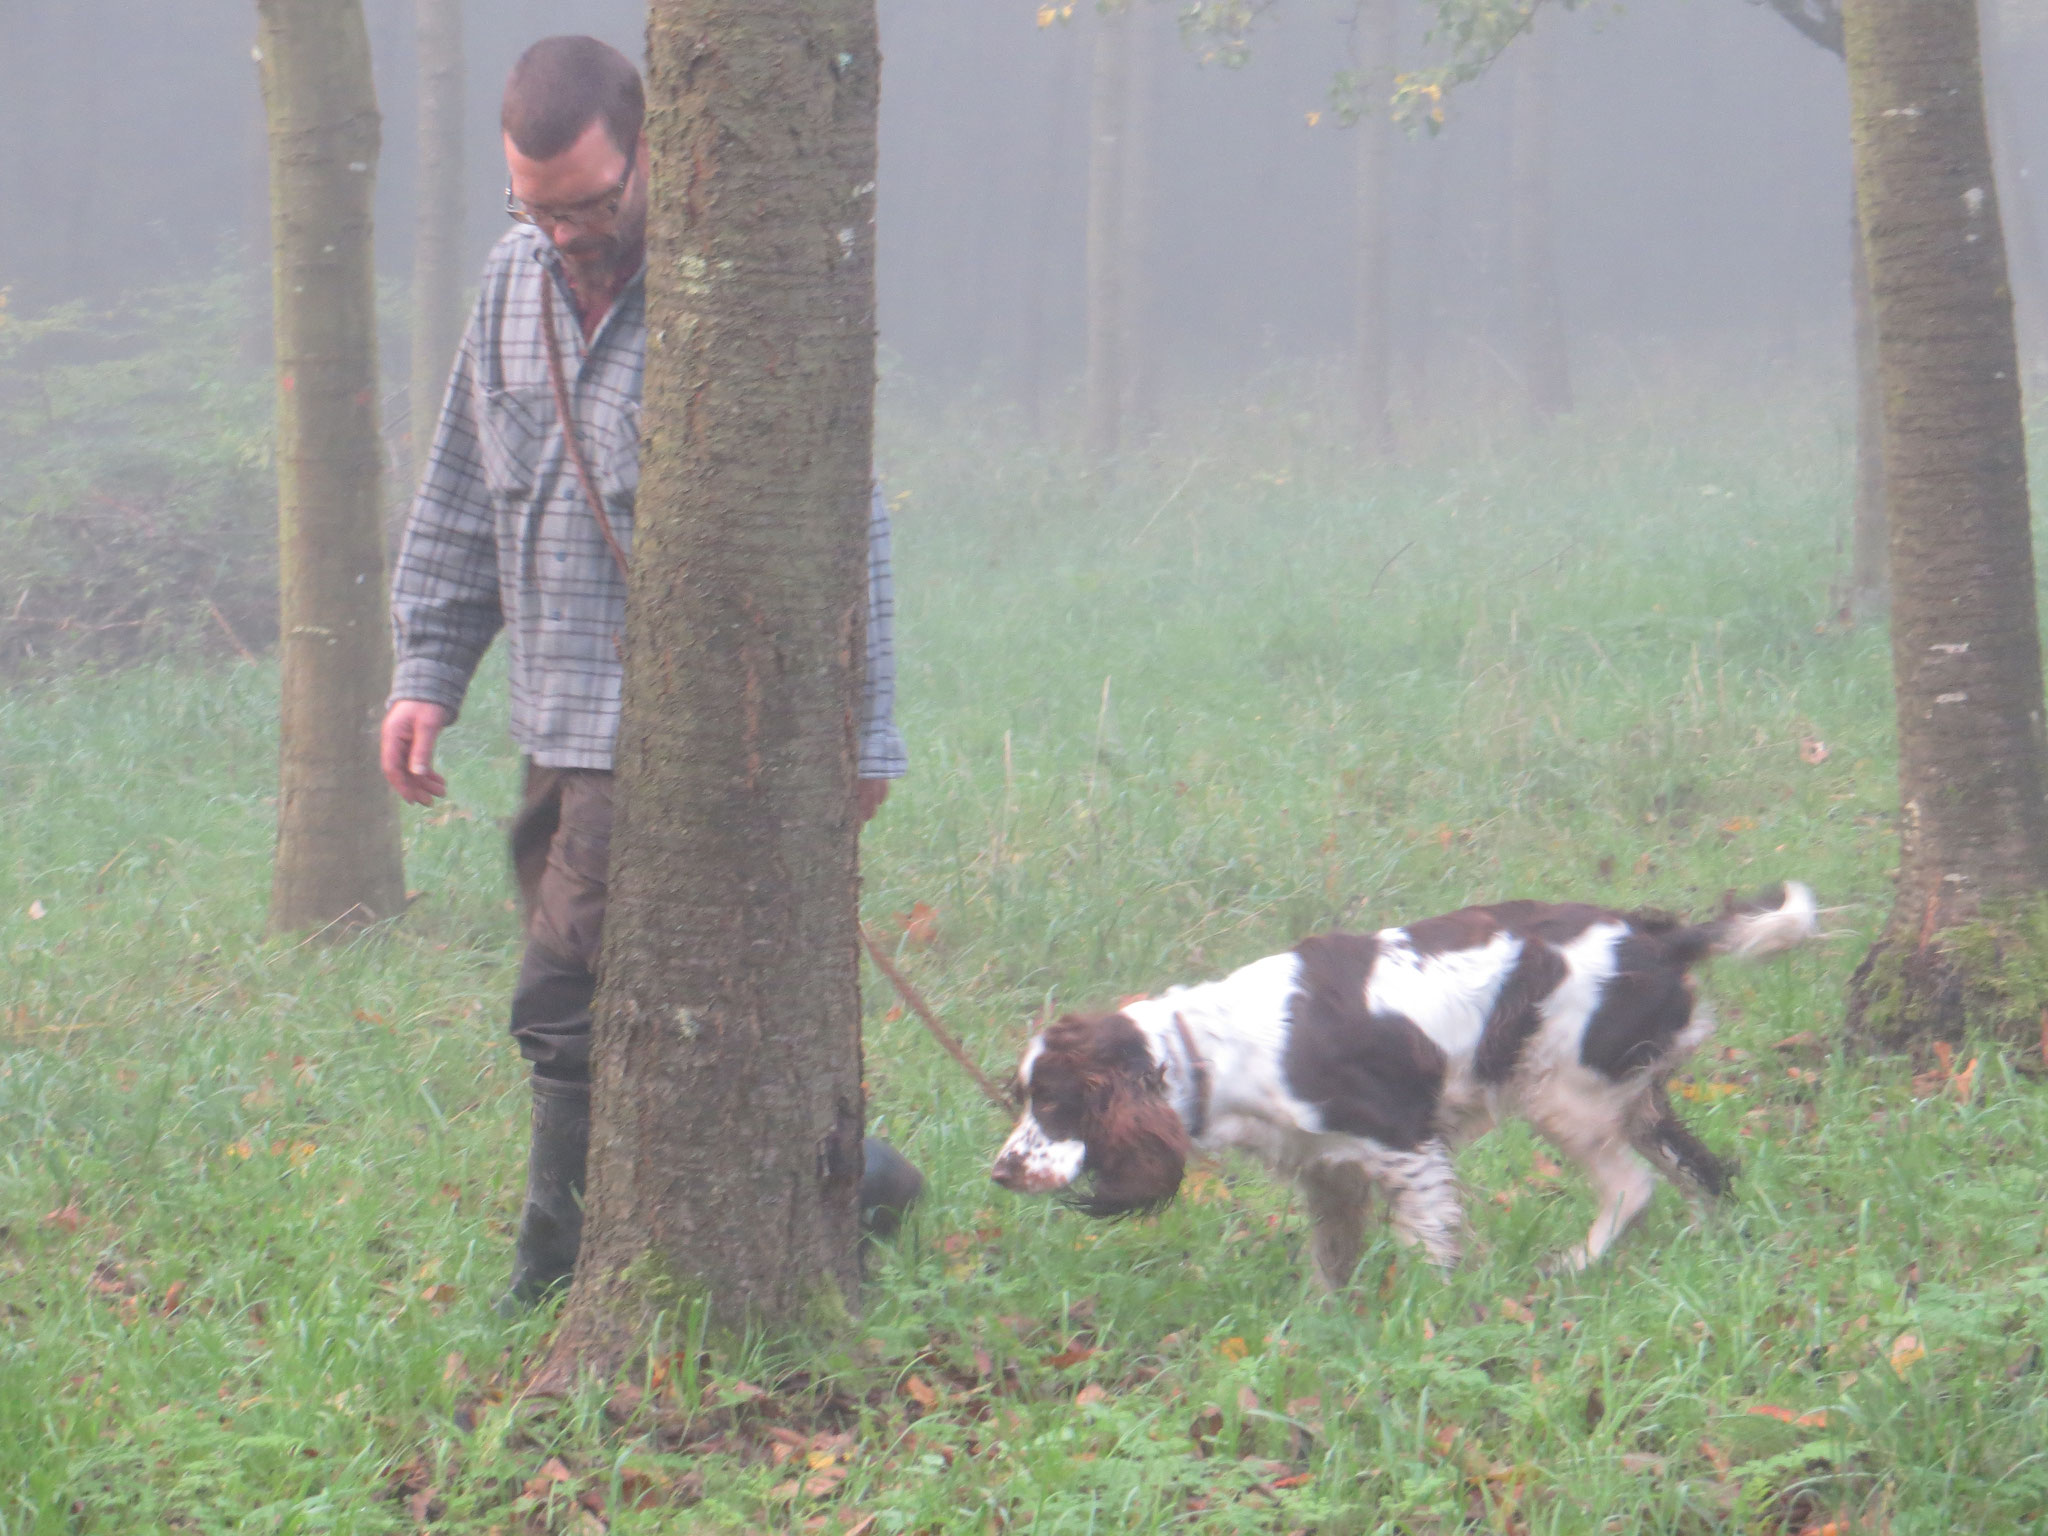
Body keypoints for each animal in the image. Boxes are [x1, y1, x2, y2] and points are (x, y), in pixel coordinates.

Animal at [999, 884, 1818, 1294]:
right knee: (1702, 1173)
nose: (1001, 1172)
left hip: (1561, 1092)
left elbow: (1426, 1250)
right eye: (1023, 1098)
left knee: (1632, 1187)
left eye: (1055, 1103)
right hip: (1631, 1094)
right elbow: (1330, 1262)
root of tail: (1660, 938)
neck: (1205, 1049)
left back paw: (1566, 1269)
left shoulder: (1404, 1146)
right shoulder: (1328, 1170)